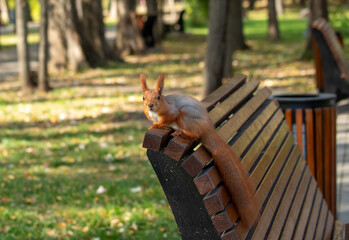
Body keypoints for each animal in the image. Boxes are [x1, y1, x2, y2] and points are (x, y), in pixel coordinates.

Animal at [140, 73, 260, 229]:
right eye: (143, 98)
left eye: (159, 97)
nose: (150, 105)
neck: (155, 112)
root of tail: (207, 127)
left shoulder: (172, 112)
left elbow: (166, 119)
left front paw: (157, 125)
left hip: (185, 116)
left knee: (194, 134)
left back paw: (181, 134)